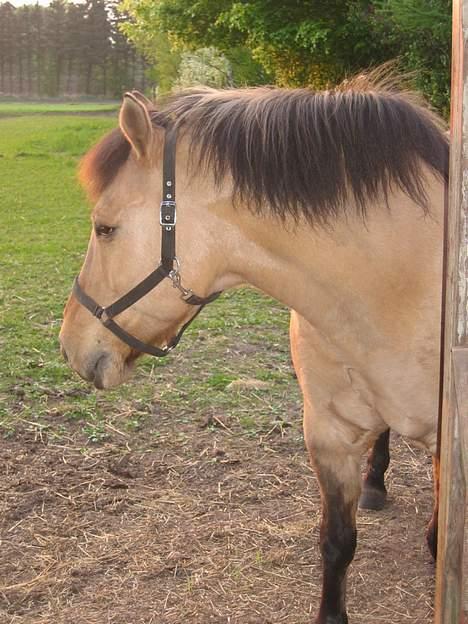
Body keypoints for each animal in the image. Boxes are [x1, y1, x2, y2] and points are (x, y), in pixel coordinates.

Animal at [58, 77, 446, 624]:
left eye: (104, 228)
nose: (69, 345)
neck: (399, 286)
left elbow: (439, 540)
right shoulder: (328, 434)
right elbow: (337, 543)